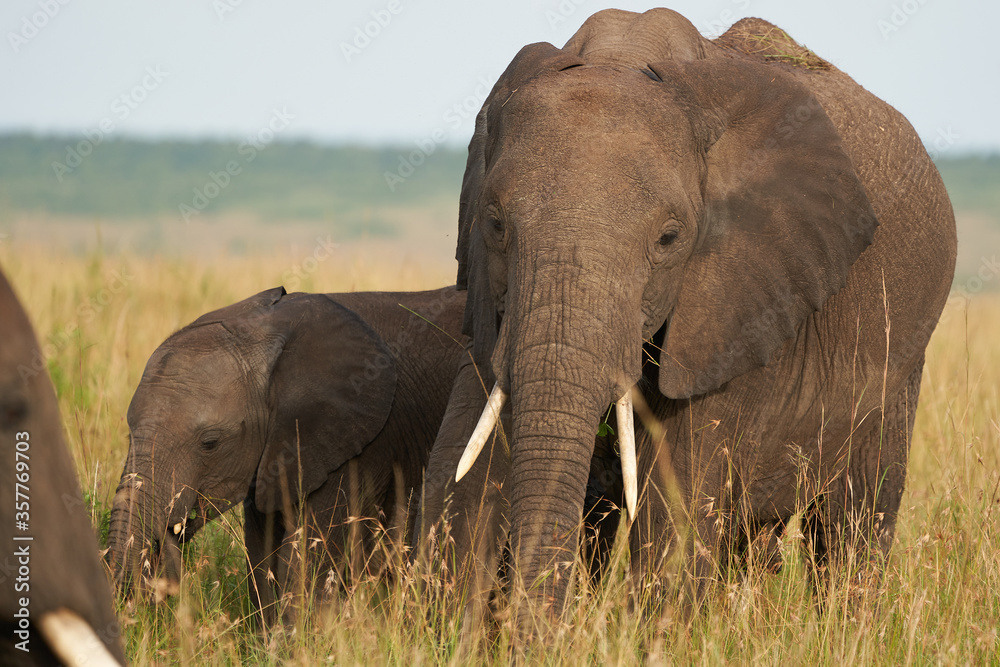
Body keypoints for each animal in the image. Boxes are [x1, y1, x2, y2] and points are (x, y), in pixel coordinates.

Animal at [105, 285, 466, 623]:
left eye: (210, 443)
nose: (171, 531)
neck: (263, 326)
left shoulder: (361, 442)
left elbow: (307, 557)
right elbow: (262, 553)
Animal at [418, 8, 957, 621]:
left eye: (669, 238)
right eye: (494, 224)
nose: (528, 629)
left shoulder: (743, 304)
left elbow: (672, 503)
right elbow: (459, 471)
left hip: (902, 353)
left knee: (856, 519)